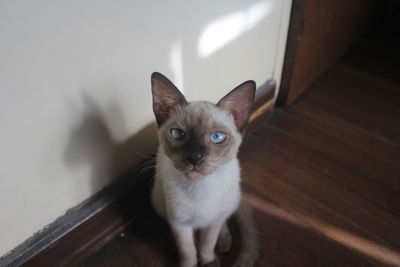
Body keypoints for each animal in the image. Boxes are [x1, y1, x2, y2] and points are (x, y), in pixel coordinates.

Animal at [151, 73, 260, 267]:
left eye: (217, 137)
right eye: (178, 134)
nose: (195, 157)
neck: (199, 187)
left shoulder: (212, 222)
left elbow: (207, 245)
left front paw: (208, 261)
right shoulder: (180, 224)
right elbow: (188, 252)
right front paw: (189, 262)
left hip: (230, 201)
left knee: (223, 222)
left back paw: (224, 242)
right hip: (158, 202)